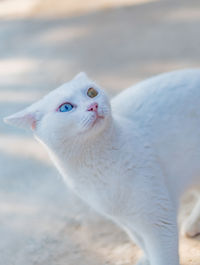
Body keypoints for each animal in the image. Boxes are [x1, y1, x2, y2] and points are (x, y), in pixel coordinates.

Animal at [3, 69, 200, 264]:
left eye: (91, 92)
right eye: (66, 107)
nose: (93, 106)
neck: (98, 165)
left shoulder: (157, 219)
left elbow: (162, 256)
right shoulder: (127, 222)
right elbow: (143, 245)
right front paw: (146, 259)